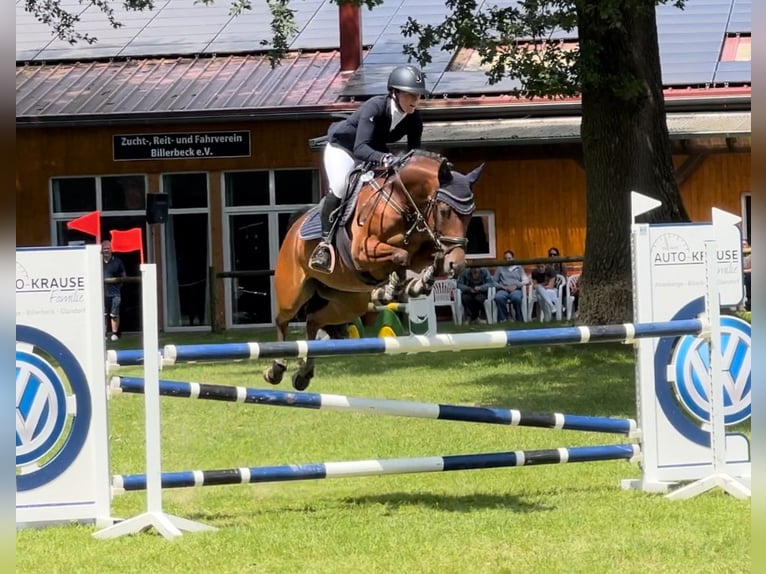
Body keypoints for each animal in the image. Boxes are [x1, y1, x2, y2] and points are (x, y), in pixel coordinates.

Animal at [268, 150, 484, 392]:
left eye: (471, 214)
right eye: (445, 211)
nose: (457, 264)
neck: (401, 201)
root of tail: (295, 229)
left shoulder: (424, 248)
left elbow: (425, 258)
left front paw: (418, 283)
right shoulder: (362, 251)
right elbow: (401, 255)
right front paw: (394, 287)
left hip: (348, 302)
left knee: (313, 321)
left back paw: (304, 373)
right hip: (293, 293)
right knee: (282, 320)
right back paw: (276, 368)